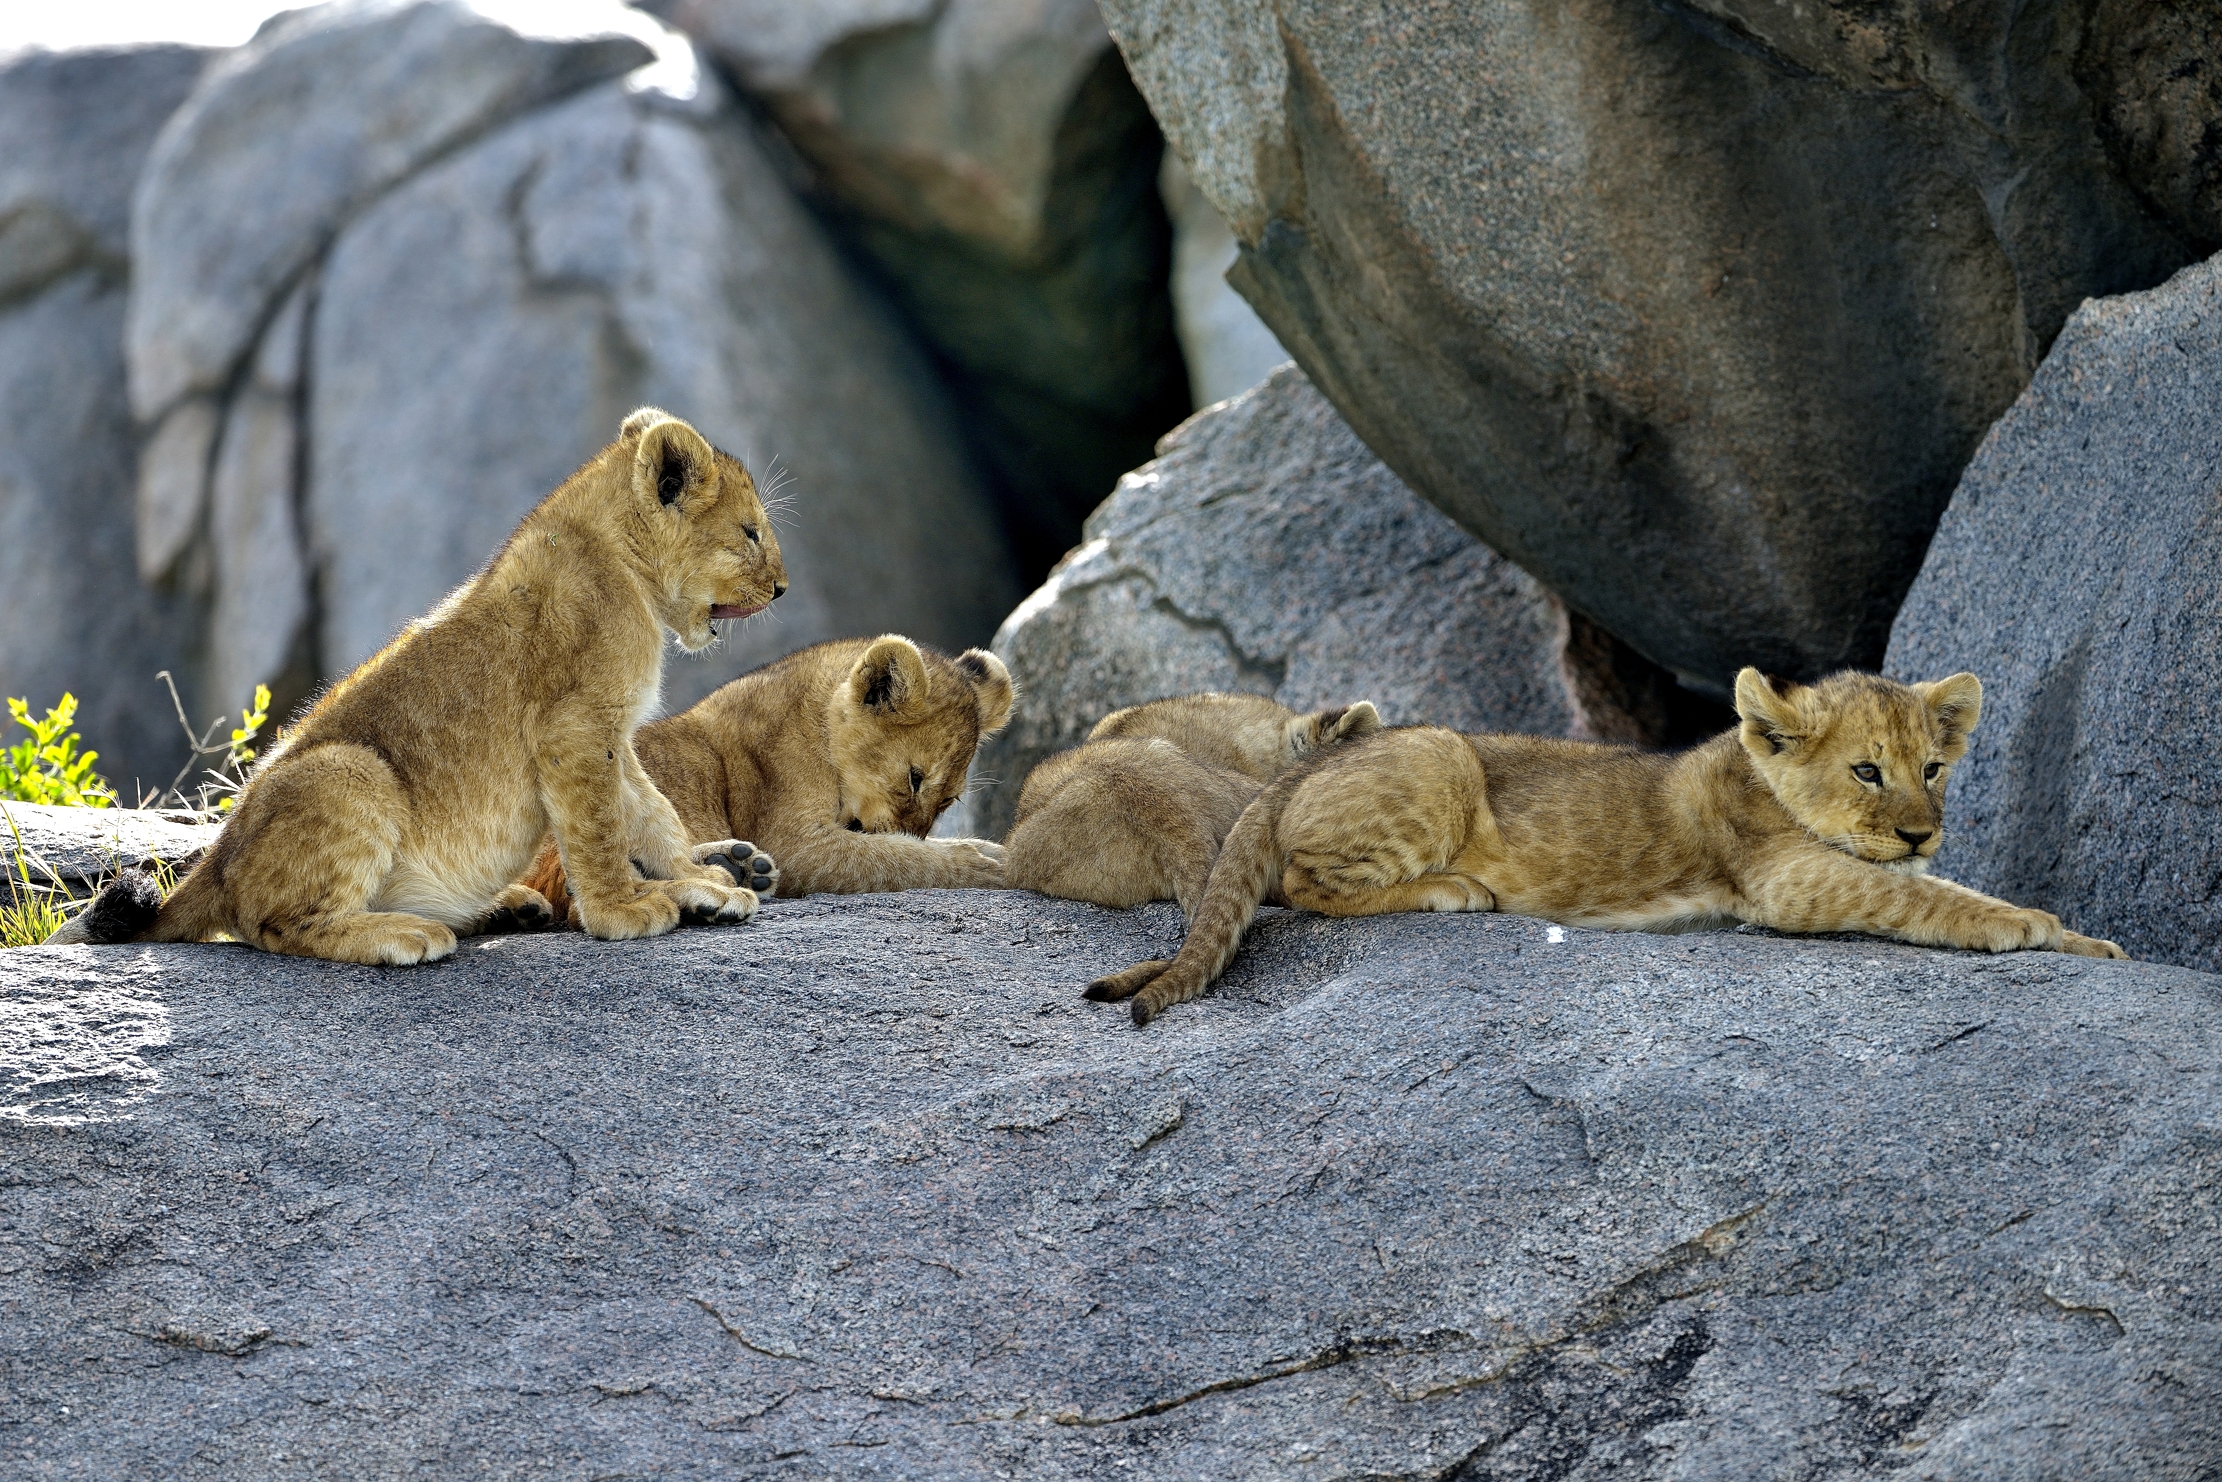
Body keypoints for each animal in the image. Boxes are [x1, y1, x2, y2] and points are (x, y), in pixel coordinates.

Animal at [45, 409, 784, 963]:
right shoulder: (573, 725)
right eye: (750, 533)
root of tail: (214, 862)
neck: (626, 563)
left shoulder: (612, 732)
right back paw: (405, 932)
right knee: (271, 924)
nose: (782, 588)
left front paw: (698, 880)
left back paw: (508, 907)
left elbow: (651, 811)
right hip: (350, 770)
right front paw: (623, 909)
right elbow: (600, 825)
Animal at [517, 634, 1013, 913]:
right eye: (914, 778)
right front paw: (985, 863)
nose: (917, 830)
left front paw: (989, 847)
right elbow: (897, 858)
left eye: (949, 800)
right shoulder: (794, 840)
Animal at [1089, 668, 2127, 1025]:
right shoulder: (1787, 883)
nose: (1920, 829)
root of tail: (1291, 772)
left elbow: (1947, 885)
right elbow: (1932, 898)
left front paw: (2085, 939)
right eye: (1868, 771)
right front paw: (2039, 929)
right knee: (1301, 886)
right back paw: (1456, 891)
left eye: (1934, 769)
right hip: (1440, 754)